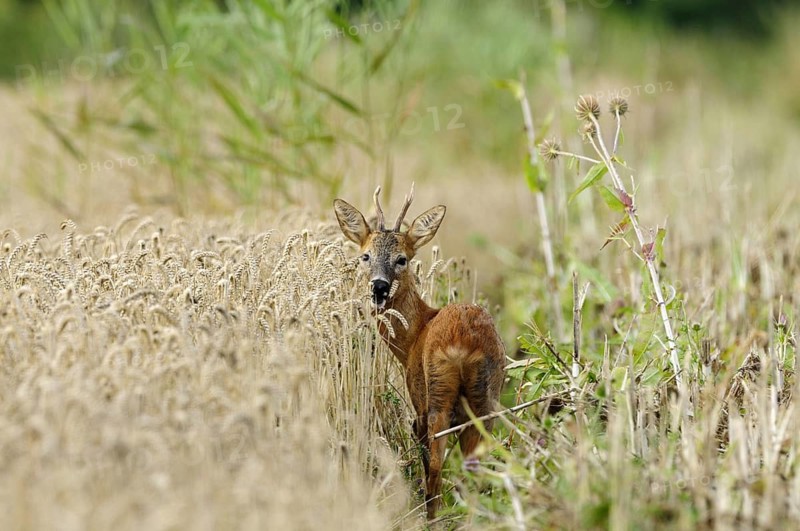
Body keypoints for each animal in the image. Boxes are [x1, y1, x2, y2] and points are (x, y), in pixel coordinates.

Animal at [333, 184, 506, 519]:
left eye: (402, 259)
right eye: (365, 255)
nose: (378, 286)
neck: (413, 337)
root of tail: (466, 342)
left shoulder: (418, 398)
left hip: (437, 391)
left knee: (437, 466)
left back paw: (432, 517)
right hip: (486, 396)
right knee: (478, 464)